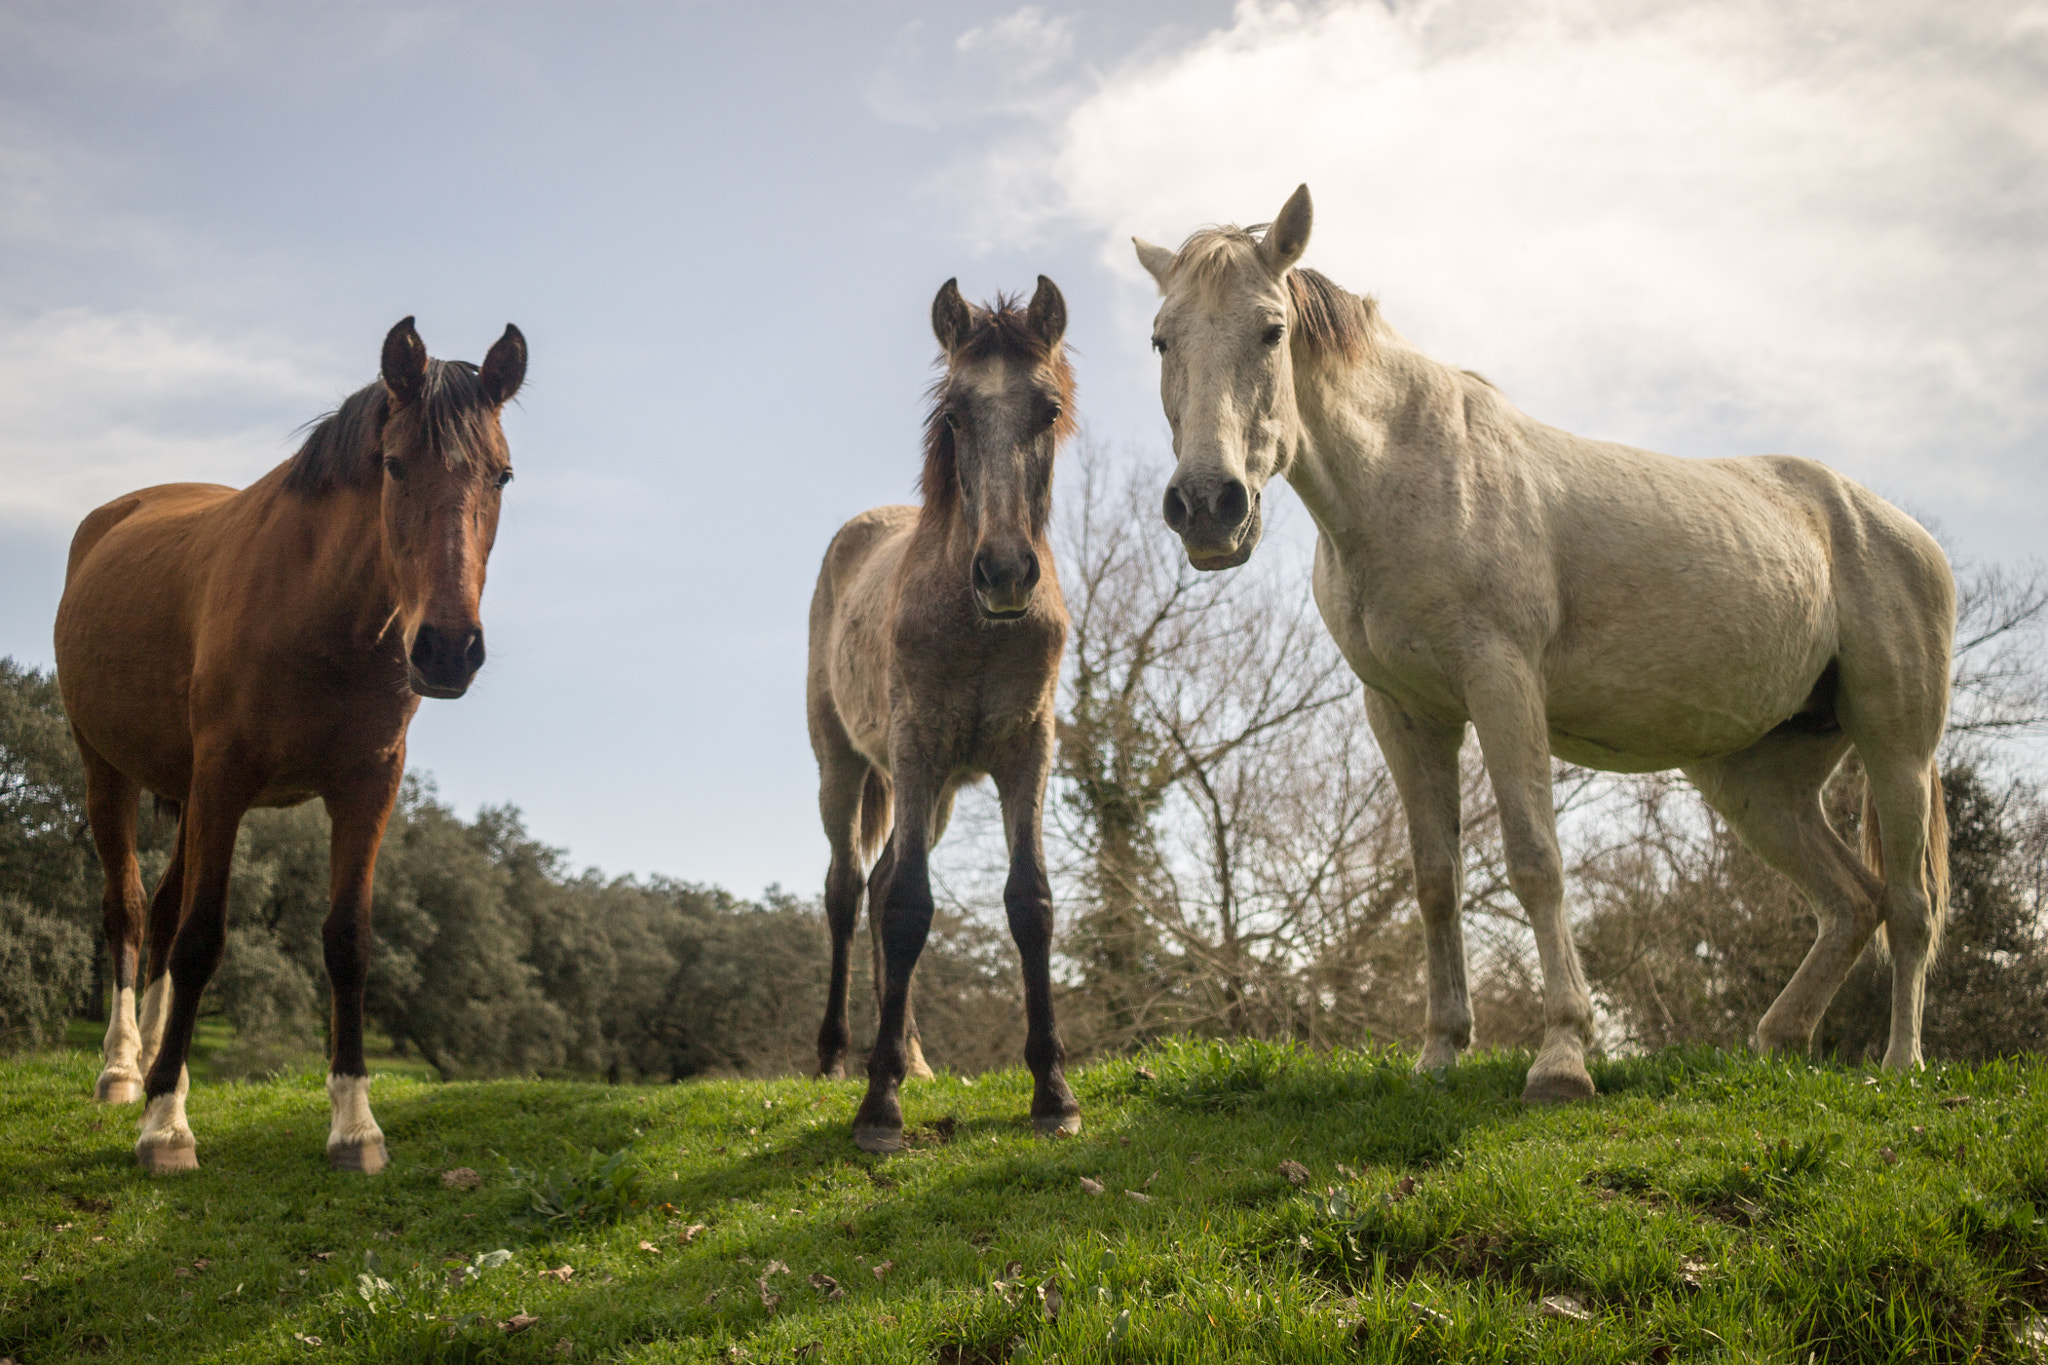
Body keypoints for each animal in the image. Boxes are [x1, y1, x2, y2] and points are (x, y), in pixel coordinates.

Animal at [54, 317, 526, 1172]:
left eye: (501, 476)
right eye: (395, 464)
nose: (447, 649)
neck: (319, 608)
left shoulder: (367, 785)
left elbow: (348, 940)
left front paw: (354, 1123)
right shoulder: (226, 778)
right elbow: (202, 937)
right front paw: (167, 1125)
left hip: (187, 792)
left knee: (162, 911)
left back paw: (155, 1064)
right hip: (109, 769)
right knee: (130, 909)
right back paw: (125, 1069)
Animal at [808, 276, 1081, 1152]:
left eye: (1047, 409)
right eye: (956, 414)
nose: (1005, 571)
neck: (976, 622)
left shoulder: (1026, 750)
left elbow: (1030, 901)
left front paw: (1052, 1092)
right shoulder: (917, 748)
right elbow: (906, 907)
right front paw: (878, 1107)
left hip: (932, 792)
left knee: (881, 876)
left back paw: (913, 1055)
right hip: (844, 765)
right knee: (848, 888)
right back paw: (835, 1057)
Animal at [1134, 186, 1953, 1102]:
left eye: (1271, 330)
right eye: (1163, 338)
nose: (1207, 507)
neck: (1411, 475)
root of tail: (1897, 530)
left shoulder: (1502, 686)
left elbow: (1535, 860)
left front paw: (1562, 1055)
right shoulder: (1405, 714)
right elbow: (1434, 878)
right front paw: (1441, 1050)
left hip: (1896, 750)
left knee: (1910, 907)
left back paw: (1901, 1063)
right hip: (1755, 782)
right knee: (1852, 900)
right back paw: (1777, 1039)